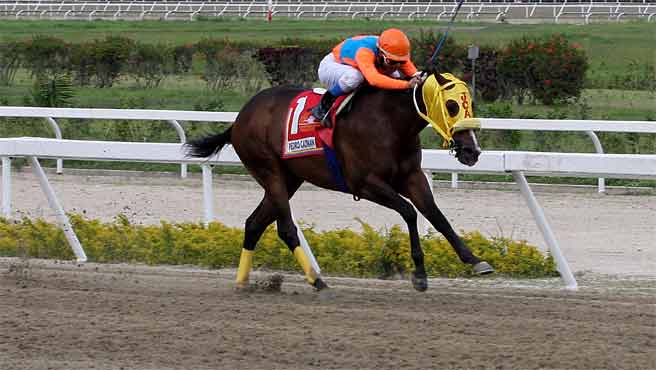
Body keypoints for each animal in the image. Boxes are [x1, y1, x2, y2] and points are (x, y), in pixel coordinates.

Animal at [184, 71, 492, 292]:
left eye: (470, 104)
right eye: (451, 105)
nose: (472, 151)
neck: (389, 122)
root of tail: (239, 118)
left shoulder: (412, 177)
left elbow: (437, 216)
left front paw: (476, 261)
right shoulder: (365, 183)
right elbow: (409, 212)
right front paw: (419, 275)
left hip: (290, 178)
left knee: (254, 223)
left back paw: (243, 282)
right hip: (269, 170)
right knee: (285, 228)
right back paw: (316, 280)